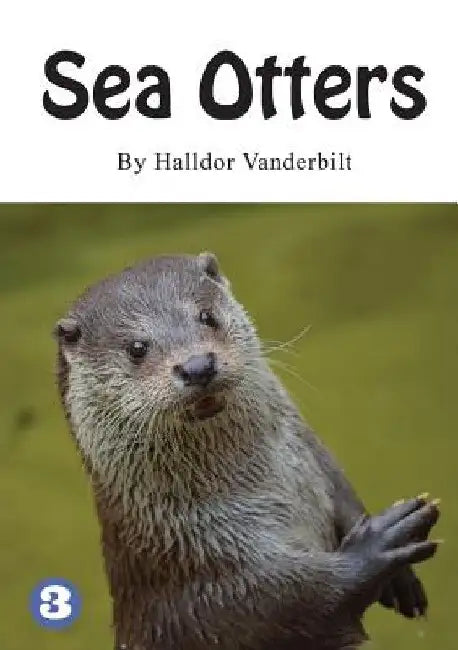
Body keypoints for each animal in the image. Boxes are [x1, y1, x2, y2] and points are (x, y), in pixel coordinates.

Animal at [55, 252, 440, 650]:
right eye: (136, 348)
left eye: (206, 316)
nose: (197, 365)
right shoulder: (204, 579)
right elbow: (289, 602)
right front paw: (378, 547)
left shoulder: (317, 460)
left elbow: (342, 491)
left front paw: (400, 576)